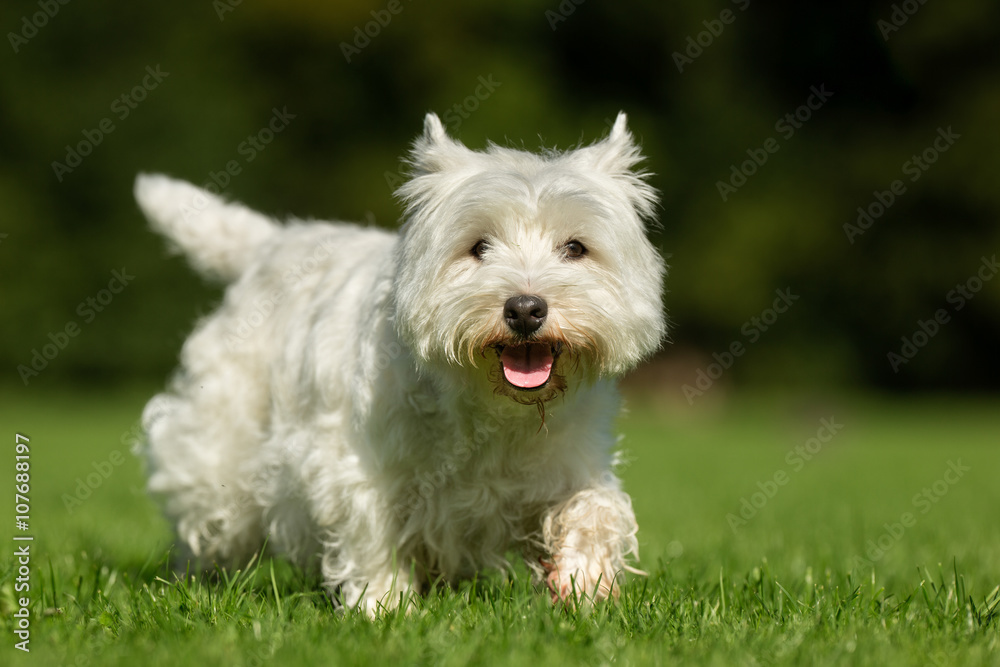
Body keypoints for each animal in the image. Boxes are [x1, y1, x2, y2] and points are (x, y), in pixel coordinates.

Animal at [133, 111, 664, 616]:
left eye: (575, 247)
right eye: (479, 247)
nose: (525, 309)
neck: (494, 409)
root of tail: (271, 243)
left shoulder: (573, 461)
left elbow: (595, 510)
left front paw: (582, 587)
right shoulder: (362, 469)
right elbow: (374, 538)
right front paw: (383, 608)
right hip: (222, 446)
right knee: (208, 521)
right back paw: (192, 586)